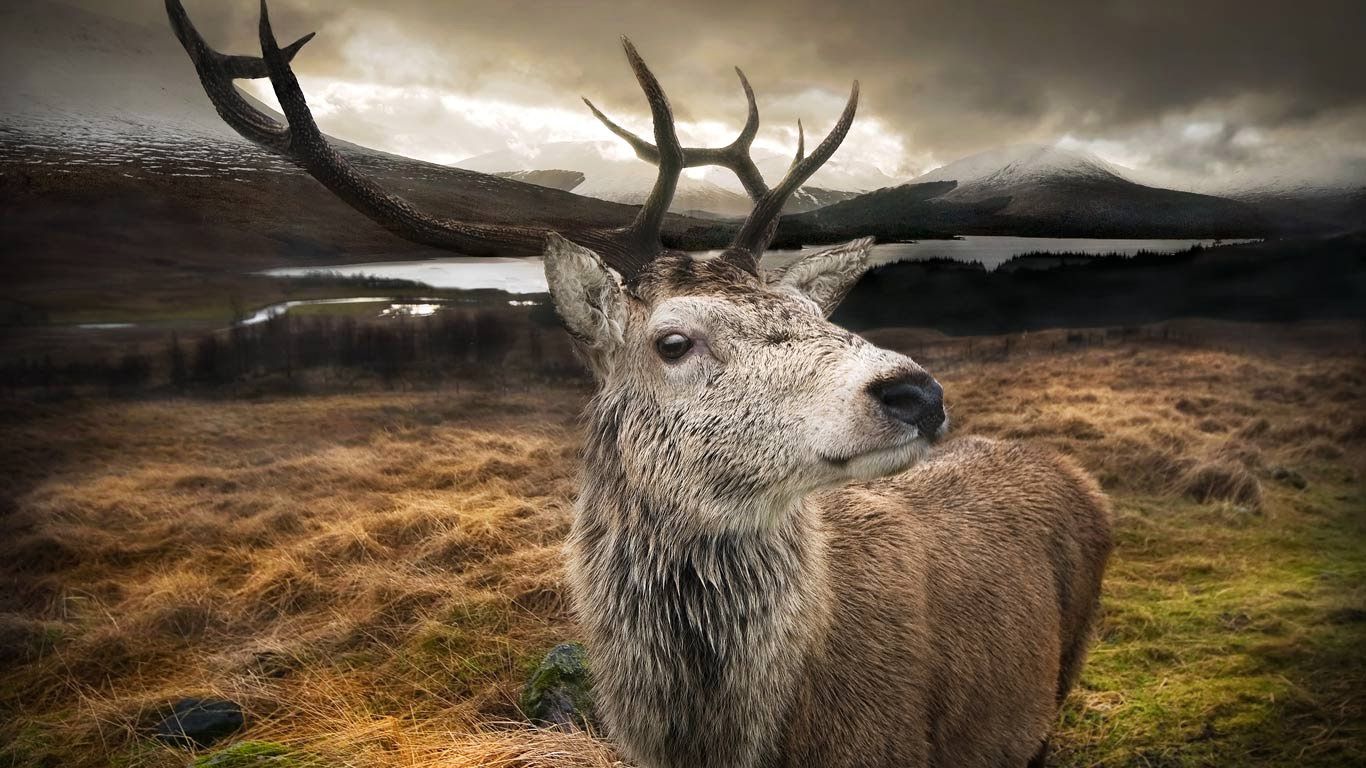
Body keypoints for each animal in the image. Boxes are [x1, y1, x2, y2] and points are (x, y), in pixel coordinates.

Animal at [168, 2, 1113, 766]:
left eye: (810, 314)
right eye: (673, 340)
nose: (915, 391)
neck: (728, 742)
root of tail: (1080, 476)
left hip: (1060, 678)